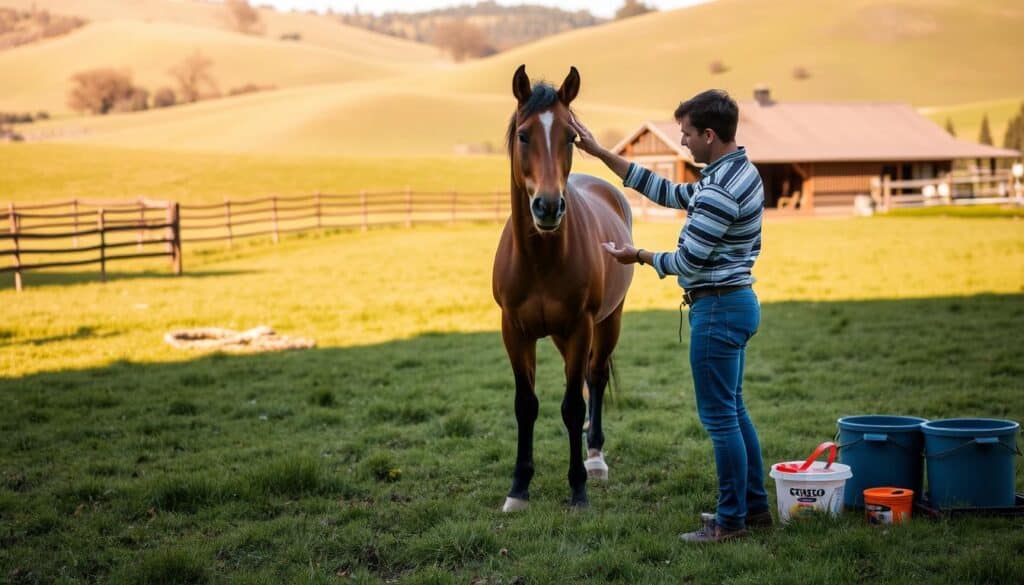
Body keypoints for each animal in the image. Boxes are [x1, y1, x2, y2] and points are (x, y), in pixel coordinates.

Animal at [493, 65, 630, 512]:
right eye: (523, 135)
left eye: (570, 137)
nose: (549, 207)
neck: (541, 258)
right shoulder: (515, 332)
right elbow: (525, 405)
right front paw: (518, 488)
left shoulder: (580, 327)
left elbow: (573, 405)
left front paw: (578, 489)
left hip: (608, 322)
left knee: (596, 376)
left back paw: (595, 458)